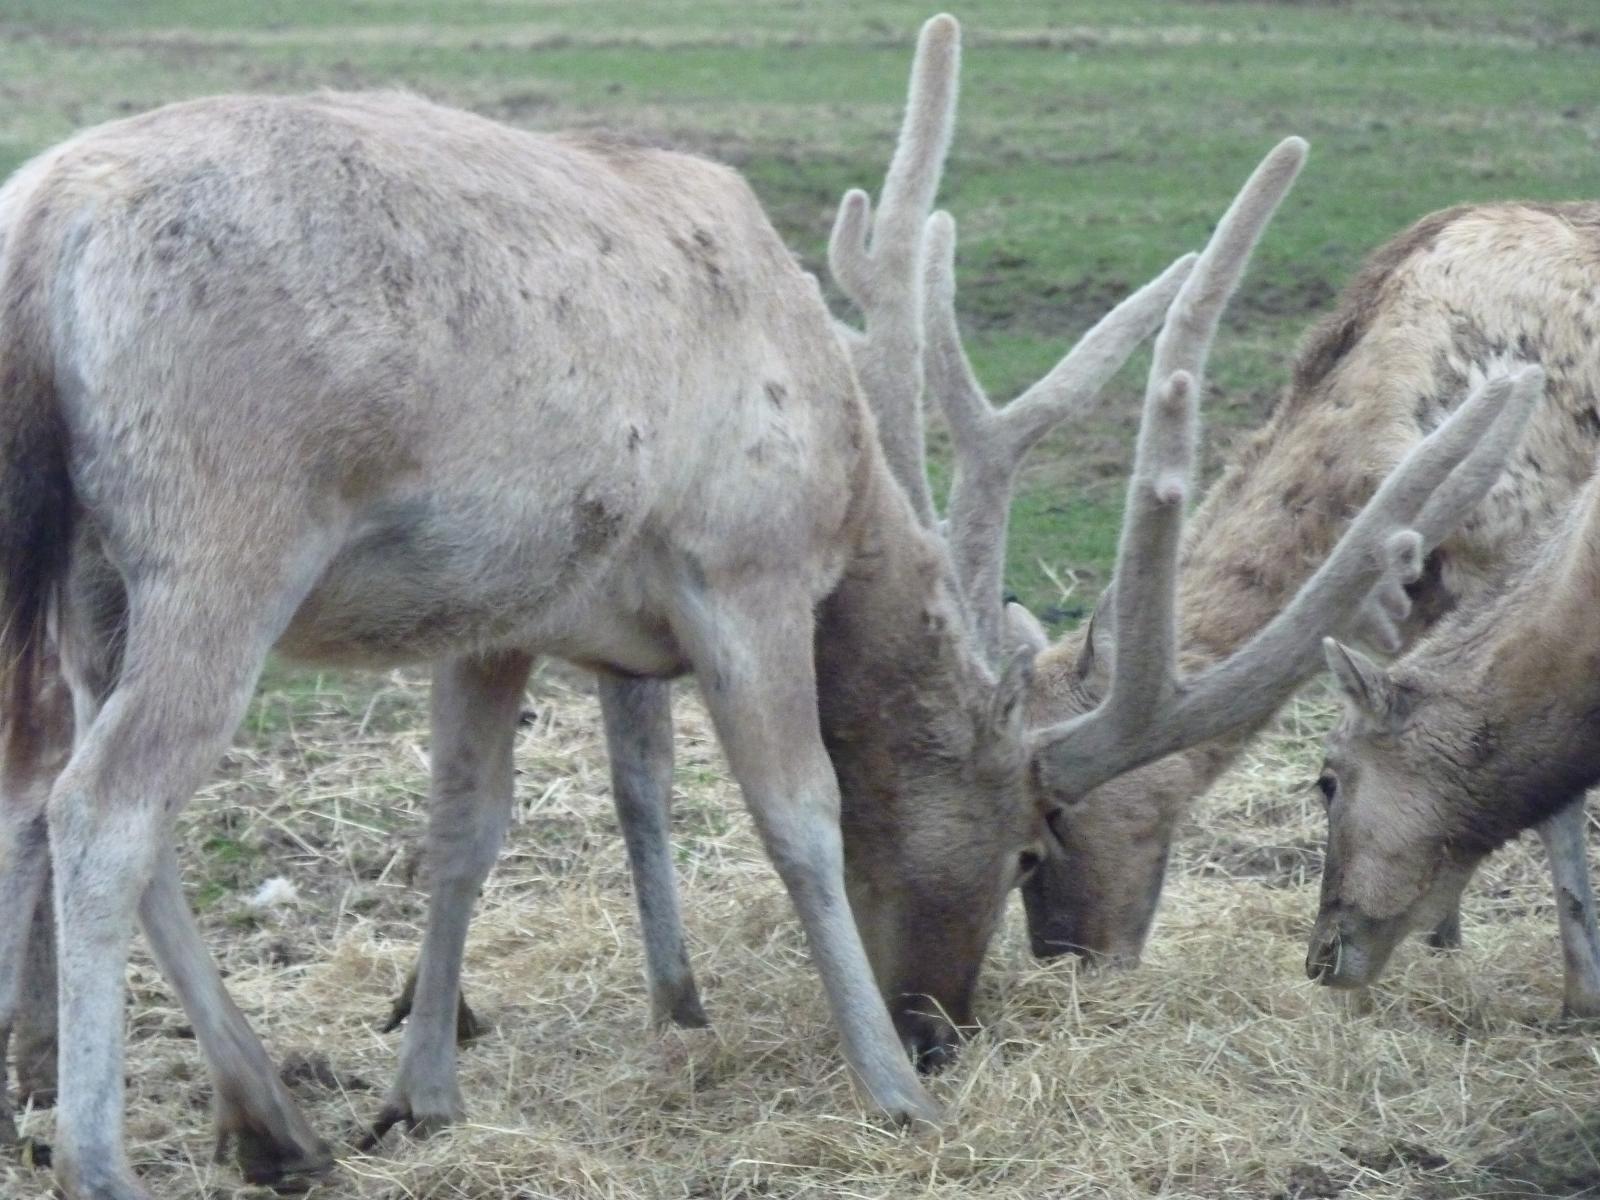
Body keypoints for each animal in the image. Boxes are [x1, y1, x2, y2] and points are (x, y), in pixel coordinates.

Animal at [0, 14, 1540, 1200]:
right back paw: (101, 1156)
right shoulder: (740, 564)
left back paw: (273, 1123)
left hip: (93, 579)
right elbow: (794, 816)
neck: (845, 490)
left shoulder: (504, 614)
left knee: (100, 800)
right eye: (1027, 846)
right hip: (226, 533)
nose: (945, 1024)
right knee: (103, 802)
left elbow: (468, 833)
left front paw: (424, 1086)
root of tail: (44, 231)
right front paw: (889, 1091)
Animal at [1016, 201, 1600, 1015]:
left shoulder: (1530, 552)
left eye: (1059, 814)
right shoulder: (1409, 615)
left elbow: (1552, 792)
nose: (1065, 957)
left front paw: (1581, 993)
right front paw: (1441, 946)